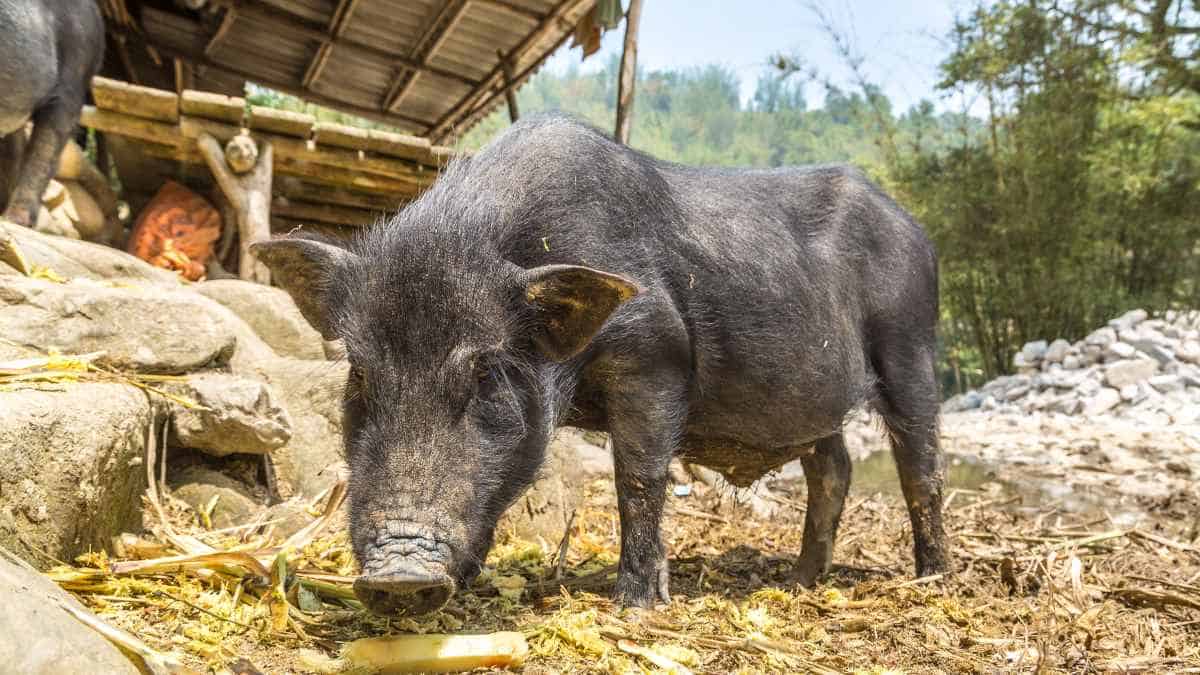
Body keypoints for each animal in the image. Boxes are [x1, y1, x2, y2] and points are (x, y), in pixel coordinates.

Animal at [254, 113, 949, 616]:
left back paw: (932, 580)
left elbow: (638, 478)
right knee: (833, 468)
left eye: (484, 373)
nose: (398, 574)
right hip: (817, 405)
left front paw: (636, 605)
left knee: (921, 467)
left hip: (912, 342)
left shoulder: (655, 353)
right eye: (361, 373)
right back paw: (802, 580)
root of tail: (917, 229)